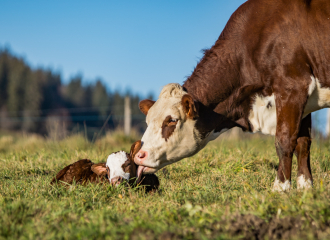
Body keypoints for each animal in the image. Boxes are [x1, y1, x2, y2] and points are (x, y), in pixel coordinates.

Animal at [134, 0, 330, 191]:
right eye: (147, 121)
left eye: (172, 120)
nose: (139, 156)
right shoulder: (304, 101)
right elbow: (303, 144)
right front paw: (305, 187)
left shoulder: (293, 87)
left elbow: (285, 140)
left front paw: (281, 187)